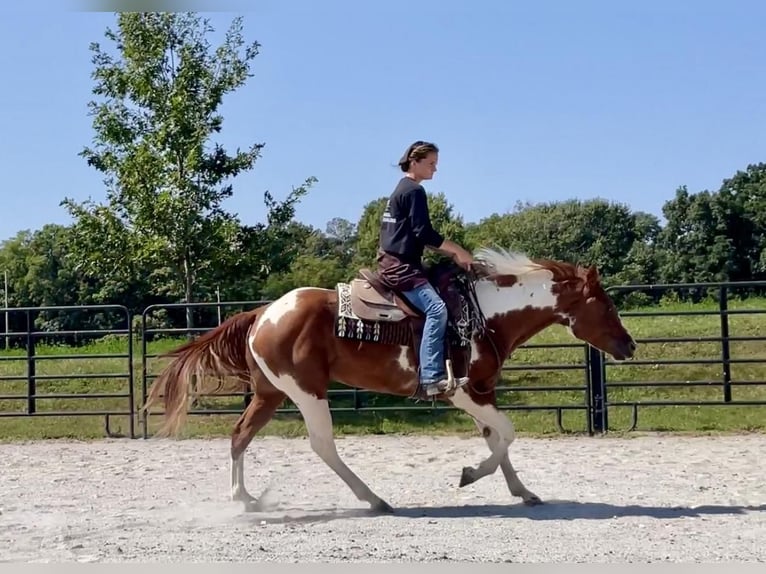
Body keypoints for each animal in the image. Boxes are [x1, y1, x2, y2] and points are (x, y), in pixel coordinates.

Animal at [142, 246, 636, 512]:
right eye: (607, 305)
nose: (629, 345)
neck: (485, 314)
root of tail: (263, 312)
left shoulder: (482, 392)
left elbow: (497, 437)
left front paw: (522, 490)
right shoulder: (462, 392)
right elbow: (507, 433)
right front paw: (470, 475)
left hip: (269, 393)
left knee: (240, 435)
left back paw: (243, 498)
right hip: (307, 392)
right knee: (322, 445)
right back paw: (373, 498)